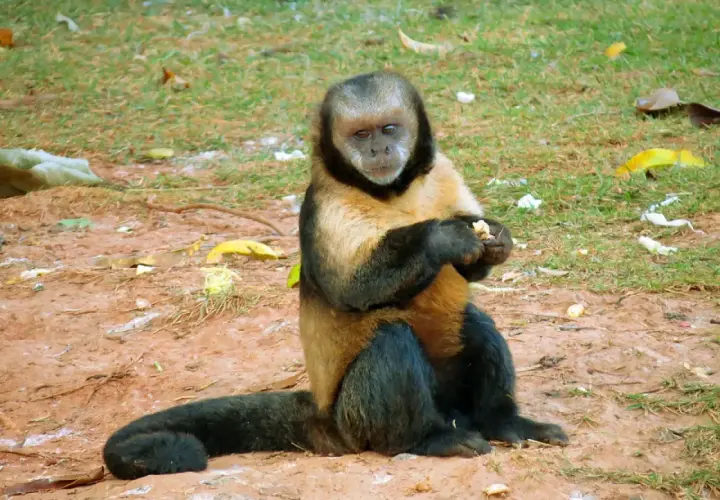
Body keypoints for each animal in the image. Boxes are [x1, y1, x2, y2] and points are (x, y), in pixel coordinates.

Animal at [102, 71, 568, 480]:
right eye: (361, 135)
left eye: (388, 129)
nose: (379, 151)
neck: (391, 191)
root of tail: (326, 419)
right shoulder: (326, 202)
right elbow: (352, 288)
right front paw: (443, 238)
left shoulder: (442, 169)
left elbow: (473, 267)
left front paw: (496, 239)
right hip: (356, 418)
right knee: (391, 340)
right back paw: (426, 439)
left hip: (448, 400)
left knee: (474, 323)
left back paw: (501, 422)